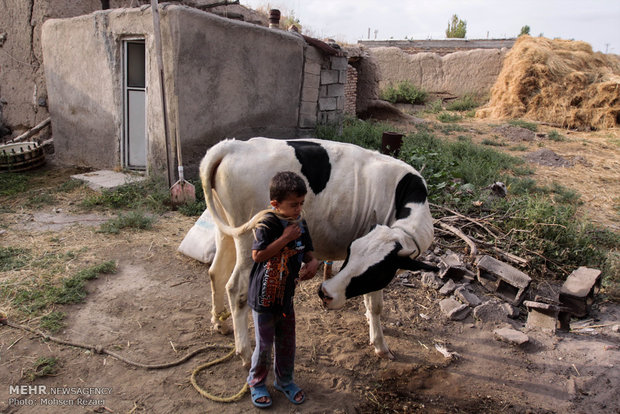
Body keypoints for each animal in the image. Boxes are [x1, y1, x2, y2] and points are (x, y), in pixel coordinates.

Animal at [201, 138, 434, 366]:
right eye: (374, 271)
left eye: (352, 250)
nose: (325, 293)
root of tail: (234, 145)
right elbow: (376, 305)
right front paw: (380, 344)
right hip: (251, 239)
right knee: (235, 288)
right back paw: (246, 352)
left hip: (227, 232)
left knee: (216, 272)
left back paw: (219, 323)